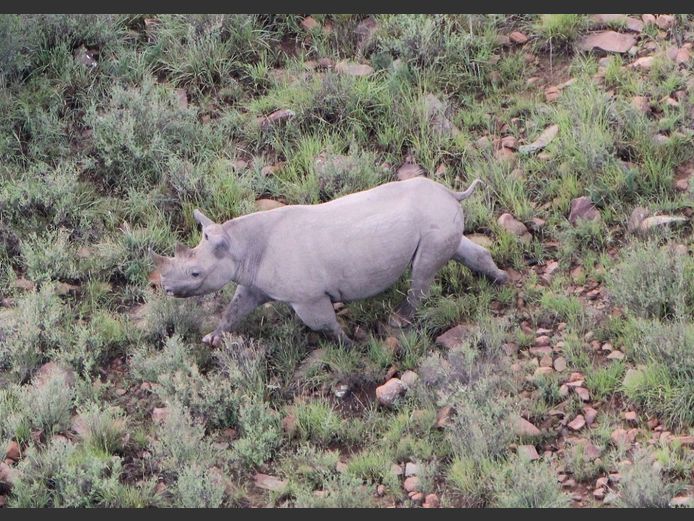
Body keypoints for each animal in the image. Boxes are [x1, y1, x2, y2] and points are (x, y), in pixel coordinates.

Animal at [151, 177, 508, 347]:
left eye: (195, 273)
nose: (165, 288)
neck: (239, 246)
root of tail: (452, 192)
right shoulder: (253, 283)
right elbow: (234, 309)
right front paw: (212, 339)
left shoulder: (307, 297)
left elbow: (323, 323)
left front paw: (349, 344)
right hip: (438, 218)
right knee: (457, 249)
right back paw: (501, 280)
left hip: (433, 221)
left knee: (421, 274)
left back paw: (397, 322)